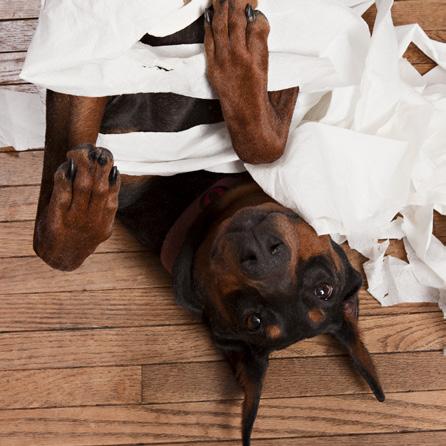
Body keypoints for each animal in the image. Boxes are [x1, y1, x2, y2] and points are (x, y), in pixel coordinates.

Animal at [33, 1, 386, 444]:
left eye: (254, 319)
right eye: (325, 289)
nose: (261, 254)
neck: (190, 197)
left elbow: (51, 247)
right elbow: (270, 146)